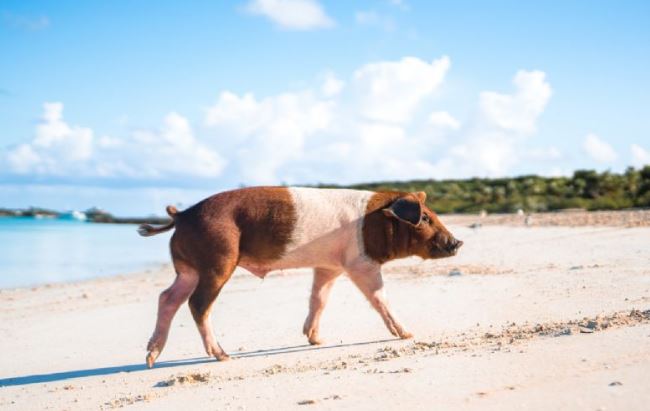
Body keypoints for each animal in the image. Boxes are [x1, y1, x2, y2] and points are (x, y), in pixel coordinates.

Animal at [138, 187, 460, 370]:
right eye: (425, 218)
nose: (457, 242)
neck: (376, 222)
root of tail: (181, 215)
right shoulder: (360, 262)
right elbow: (380, 297)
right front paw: (408, 334)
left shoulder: (329, 266)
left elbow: (319, 298)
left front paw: (316, 340)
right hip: (217, 261)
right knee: (197, 303)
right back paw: (224, 357)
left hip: (189, 269)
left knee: (168, 297)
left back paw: (151, 359)